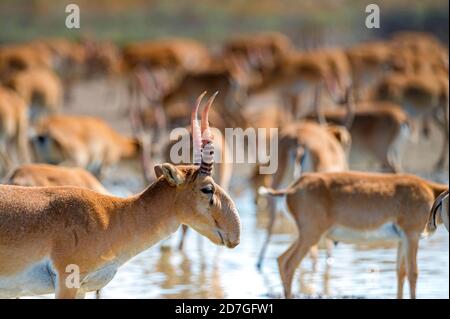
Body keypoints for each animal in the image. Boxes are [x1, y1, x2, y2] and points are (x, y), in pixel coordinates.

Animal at [258, 172, 448, 300]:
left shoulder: (402, 240)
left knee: (281, 259)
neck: (431, 191)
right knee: (289, 264)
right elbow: (413, 273)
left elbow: (400, 272)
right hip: (311, 235)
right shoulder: (411, 235)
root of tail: (292, 188)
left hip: (306, 235)